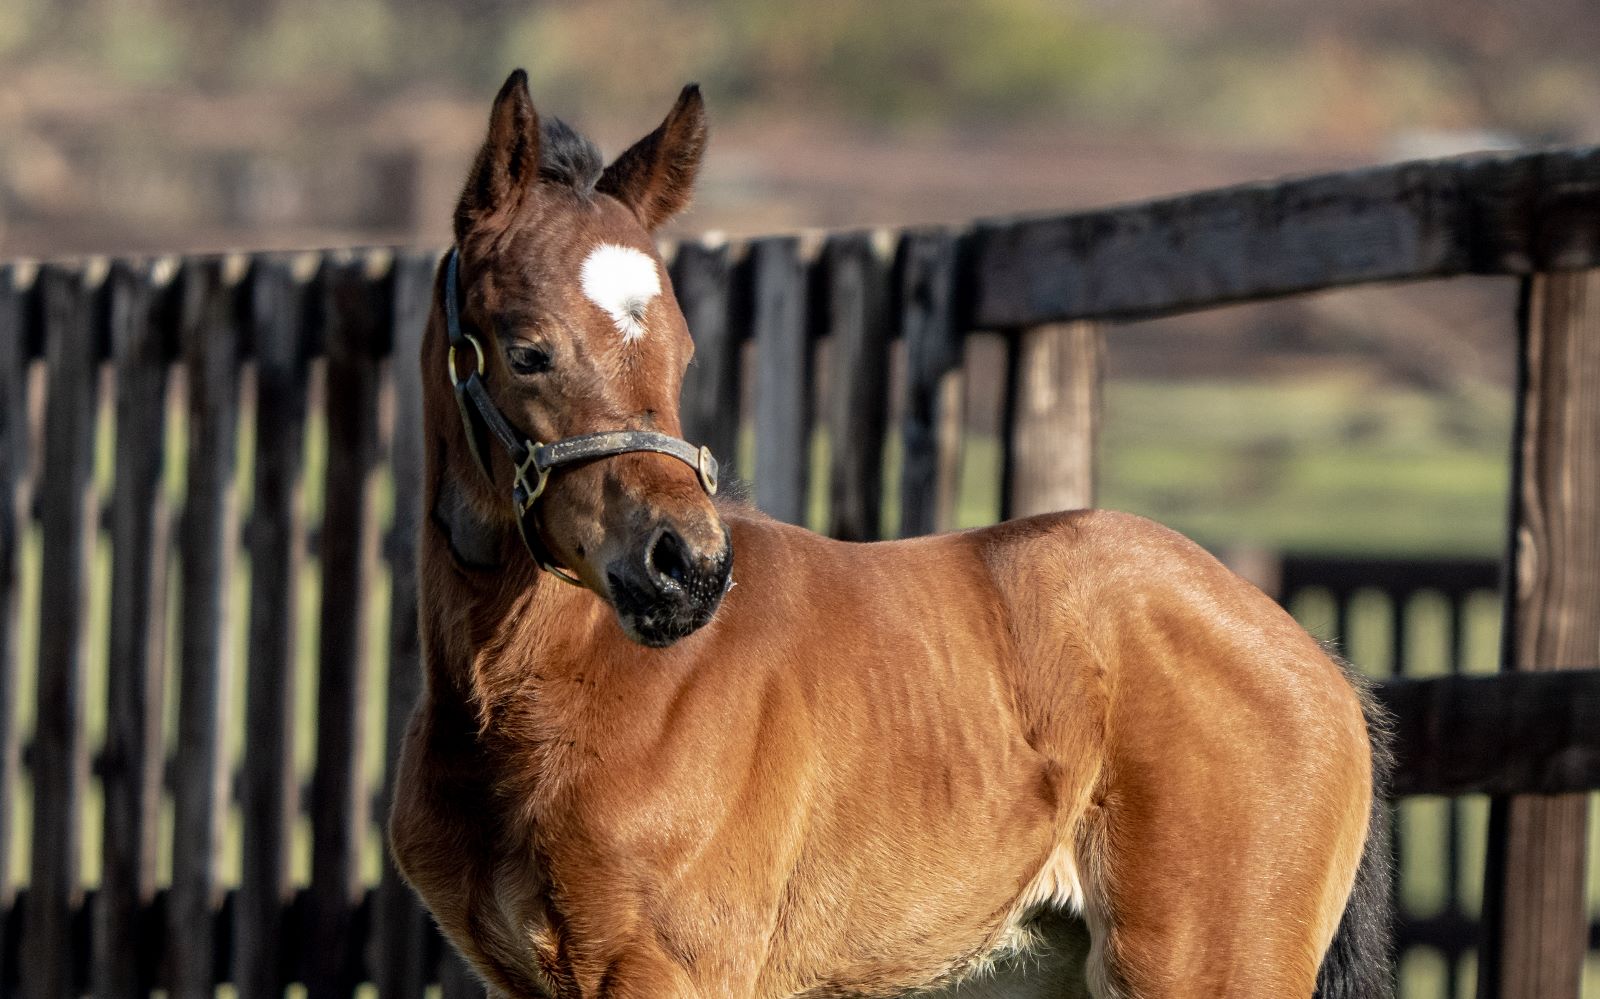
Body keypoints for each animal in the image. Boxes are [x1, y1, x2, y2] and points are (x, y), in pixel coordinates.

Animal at [387, 72, 1388, 999]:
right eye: (527, 351)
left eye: (682, 355)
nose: (688, 570)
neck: (545, 688)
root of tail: (1322, 665)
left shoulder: (668, 968)